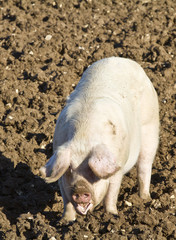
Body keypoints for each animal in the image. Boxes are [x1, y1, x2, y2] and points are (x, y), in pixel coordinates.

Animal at [39, 56, 160, 221]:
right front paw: (66, 221)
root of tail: (121, 59)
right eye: (69, 169)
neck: (83, 138)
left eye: (91, 171)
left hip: (151, 127)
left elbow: (111, 195)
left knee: (144, 166)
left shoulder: (117, 167)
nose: (80, 190)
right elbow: (66, 201)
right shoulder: (60, 174)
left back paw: (145, 199)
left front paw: (112, 215)